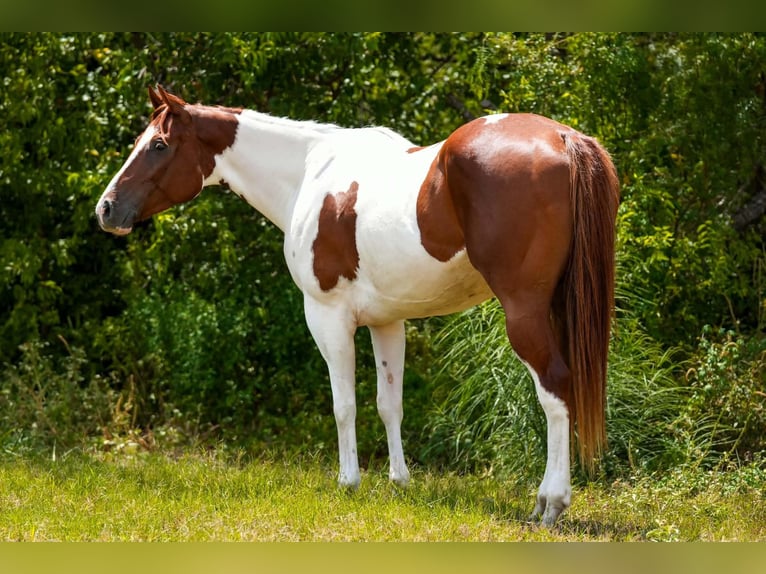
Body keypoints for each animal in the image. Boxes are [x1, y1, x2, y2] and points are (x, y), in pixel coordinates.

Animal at [95, 85, 619, 527]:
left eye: (158, 145)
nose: (106, 208)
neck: (308, 172)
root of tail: (562, 137)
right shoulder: (388, 322)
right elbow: (390, 405)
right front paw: (399, 482)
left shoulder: (327, 317)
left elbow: (343, 404)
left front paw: (349, 482)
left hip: (524, 313)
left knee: (554, 390)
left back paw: (549, 504)